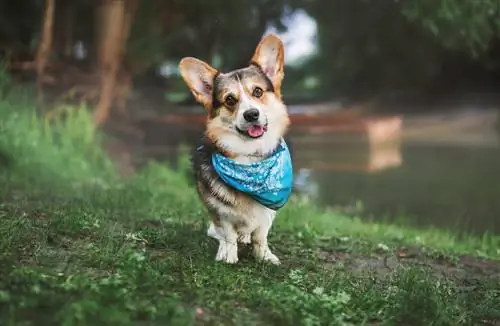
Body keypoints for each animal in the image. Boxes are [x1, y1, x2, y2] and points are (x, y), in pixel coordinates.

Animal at [178, 33, 292, 264]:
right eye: (230, 99)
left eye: (257, 91)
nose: (251, 114)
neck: (251, 157)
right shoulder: (219, 210)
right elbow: (228, 232)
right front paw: (229, 255)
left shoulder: (267, 212)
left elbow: (261, 236)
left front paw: (264, 256)